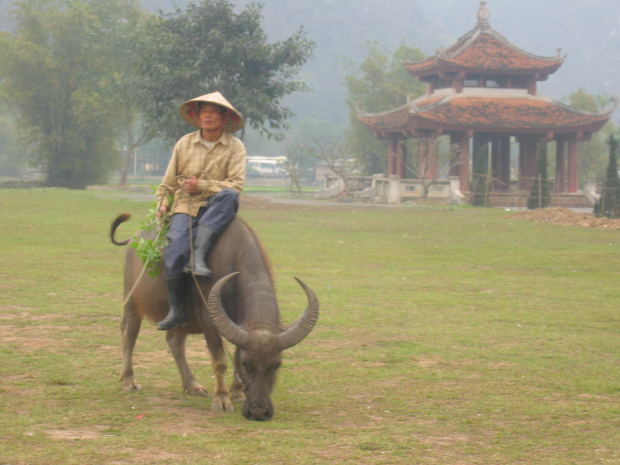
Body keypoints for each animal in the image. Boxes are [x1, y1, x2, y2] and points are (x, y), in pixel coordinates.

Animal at [108, 214, 318, 420]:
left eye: (276, 365)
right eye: (247, 365)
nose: (259, 412)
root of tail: (134, 239)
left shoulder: (239, 325)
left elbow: (235, 353)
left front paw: (237, 393)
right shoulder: (209, 319)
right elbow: (220, 361)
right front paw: (222, 399)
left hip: (181, 320)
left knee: (174, 342)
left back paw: (192, 385)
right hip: (132, 302)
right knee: (129, 334)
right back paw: (128, 380)